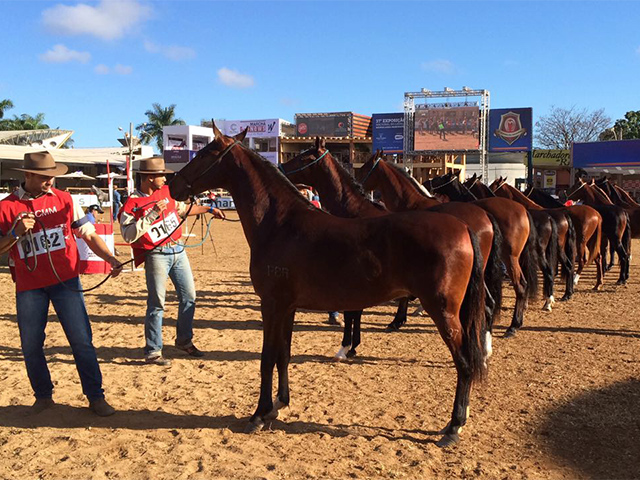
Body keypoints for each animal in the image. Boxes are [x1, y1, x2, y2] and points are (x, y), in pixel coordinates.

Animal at [168, 124, 488, 446]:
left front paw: (259, 414)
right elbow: (283, 354)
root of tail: (464, 227)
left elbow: (267, 358)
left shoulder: (271, 306)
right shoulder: (287, 308)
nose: (172, 185)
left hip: (443, 312)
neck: (280, 224)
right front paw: (279, 404)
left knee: (464, 363)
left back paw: (453, 427)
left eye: (206, 153)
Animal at [430, 172, 540, 338]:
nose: (427, 182)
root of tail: (523, 211)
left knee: (521, 284)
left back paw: (513, 325)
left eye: (439, 178)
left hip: (510, 257)